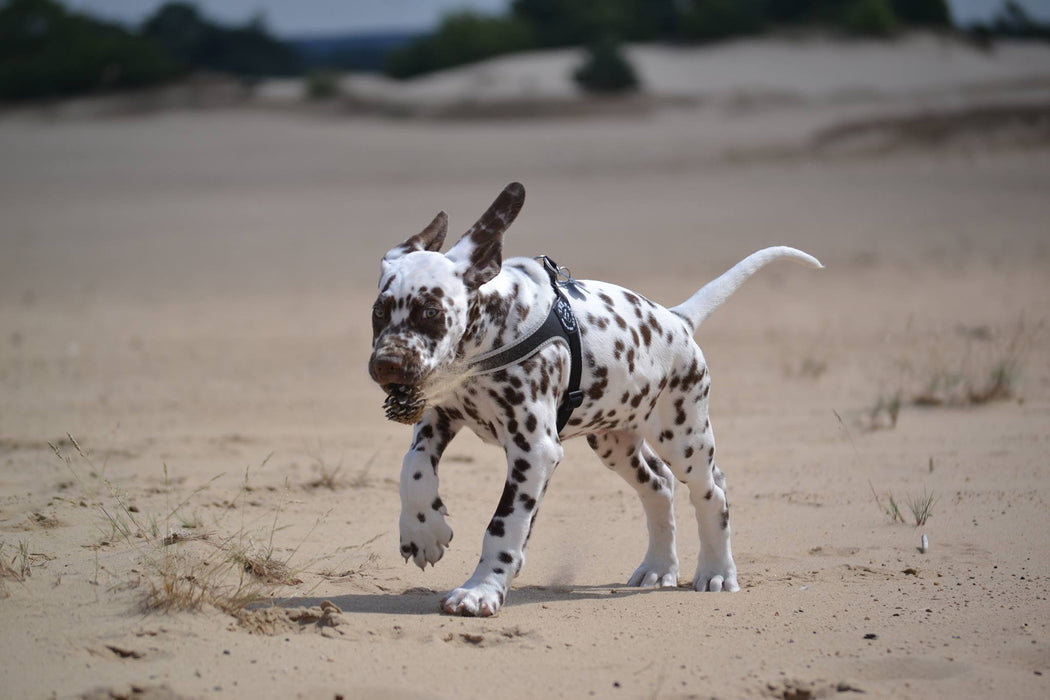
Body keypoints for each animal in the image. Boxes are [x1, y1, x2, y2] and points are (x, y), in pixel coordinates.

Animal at [369, 183, 818, 617]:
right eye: (378, 312)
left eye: (430, 311)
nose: (386, 364)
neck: (490, 341)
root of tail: (678, 320)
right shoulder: (440, 416)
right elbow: (413, 467)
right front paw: (423, 530)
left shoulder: (534, 451)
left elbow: (503, 526)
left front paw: (480, 591)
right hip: (614, 443)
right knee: (659, 486)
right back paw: (659, 567)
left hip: (684, 439)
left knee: (712, 492)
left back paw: (717, 571)